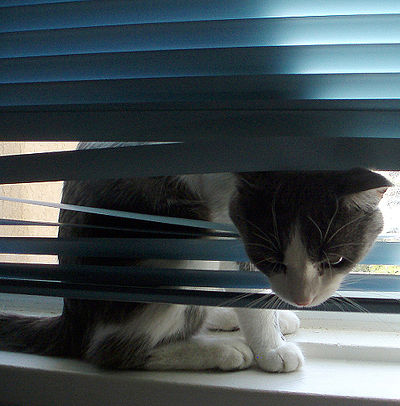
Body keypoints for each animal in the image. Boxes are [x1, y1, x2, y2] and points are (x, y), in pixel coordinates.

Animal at [0, 143, 390, 374]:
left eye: (335, 260)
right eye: (269, 258)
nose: (302, 299)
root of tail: (73, 317)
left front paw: (276, 316)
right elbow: (249, 292)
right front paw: (273, 348)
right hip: (184, 237)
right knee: (110, 348)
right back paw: (223, 352)